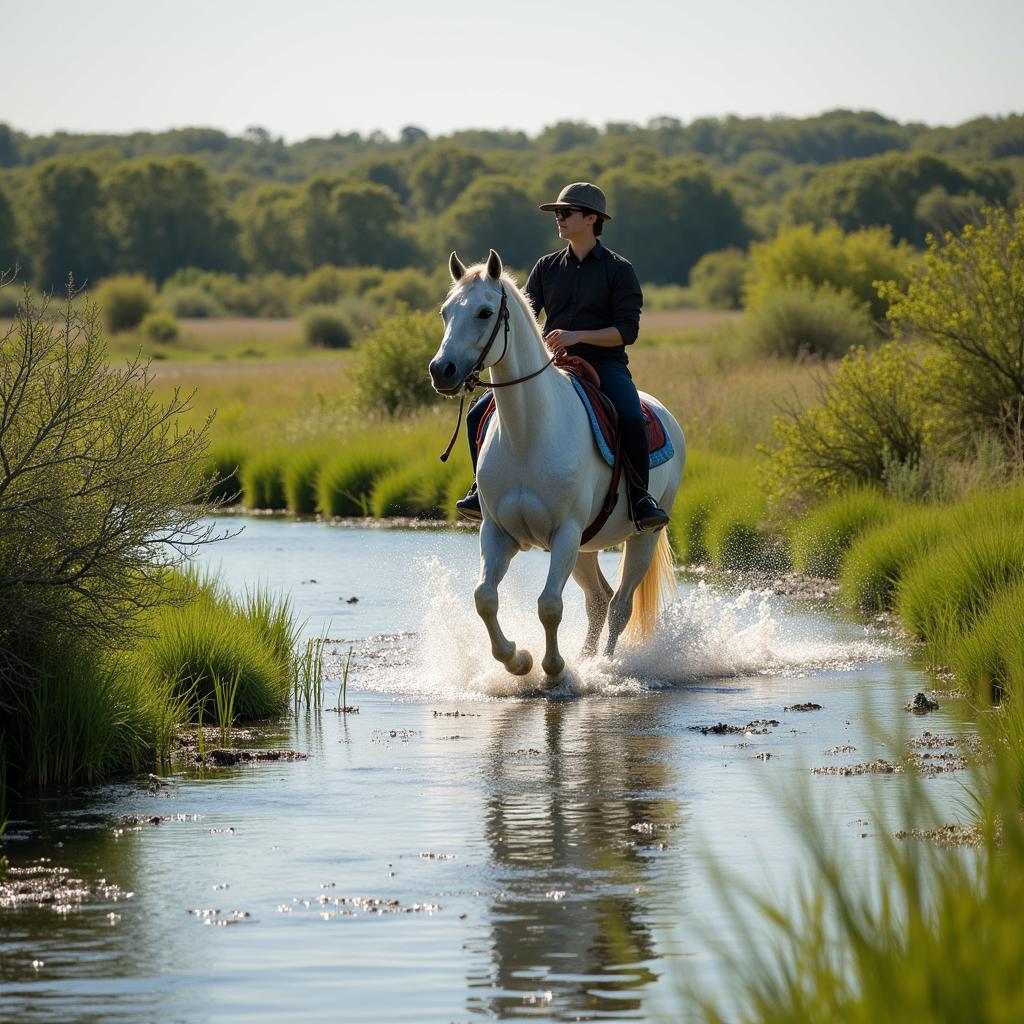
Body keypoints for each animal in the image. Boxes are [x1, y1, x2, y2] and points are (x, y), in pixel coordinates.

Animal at [428, 247, 684, 684]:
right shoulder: (498, 532)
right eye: (446, 312)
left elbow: (549, 605)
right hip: (585, 547)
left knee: (619, 606)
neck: (527, 434)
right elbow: (484, 598)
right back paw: (586, 659)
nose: (441, 370)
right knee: (599, 600)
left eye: (484, 312)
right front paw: (518, 660)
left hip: (641, 539)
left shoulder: (564, 532)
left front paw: (553, 668)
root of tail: (665, 414)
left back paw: (603, 667)